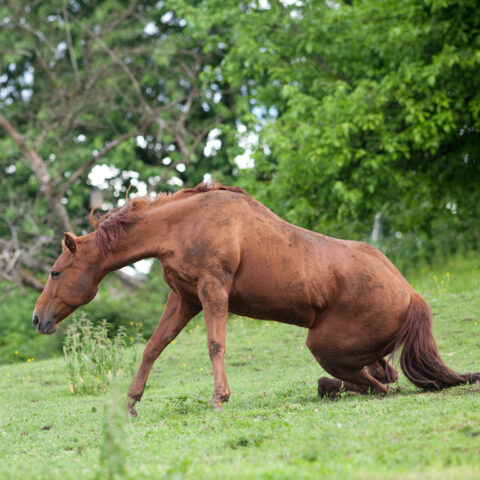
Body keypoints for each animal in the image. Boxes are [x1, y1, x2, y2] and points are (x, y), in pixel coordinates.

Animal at [31, 182, 478, 414]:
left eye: (55, 272)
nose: (38, 319)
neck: (184, 224)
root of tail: (412, 296)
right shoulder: (185, 299)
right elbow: (153, 347)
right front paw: (131, 402)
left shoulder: (213, 290)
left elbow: (215, 345)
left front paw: (220, 396)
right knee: (380, 377)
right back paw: (329, 387)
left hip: (323, 345)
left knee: (380, 386)